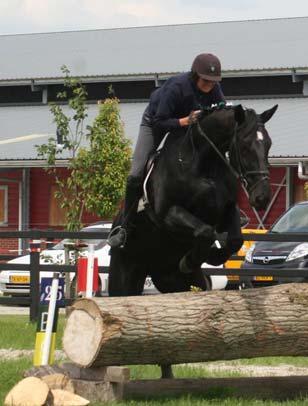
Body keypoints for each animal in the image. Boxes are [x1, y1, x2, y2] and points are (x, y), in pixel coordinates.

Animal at [108, 103, 276, 296]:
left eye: (268, 145)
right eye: (245, 147)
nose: (262, 197)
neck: (204, 165)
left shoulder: (228, 209)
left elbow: (235, 240)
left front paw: (209, 256)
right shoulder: (169, 214)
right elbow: (205, 231)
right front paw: (194, 260)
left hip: (177, 280)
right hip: (124, 276)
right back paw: (120, 236)